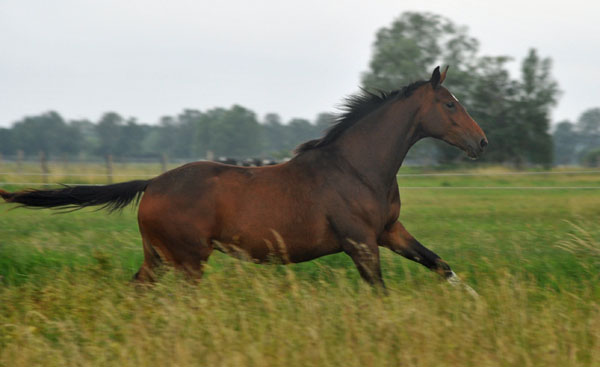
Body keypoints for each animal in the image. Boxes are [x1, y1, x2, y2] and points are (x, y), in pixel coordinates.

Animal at [0, 67, 486, 290]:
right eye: (449, 104)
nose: (481, 142)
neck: (357, 169)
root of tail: (152, 183)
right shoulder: (361, 242)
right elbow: (381, 291)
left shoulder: (388, 231)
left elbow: (440, 264)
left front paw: (474, 302)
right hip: (188, 260)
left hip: (158, 256)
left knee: (138, 290)